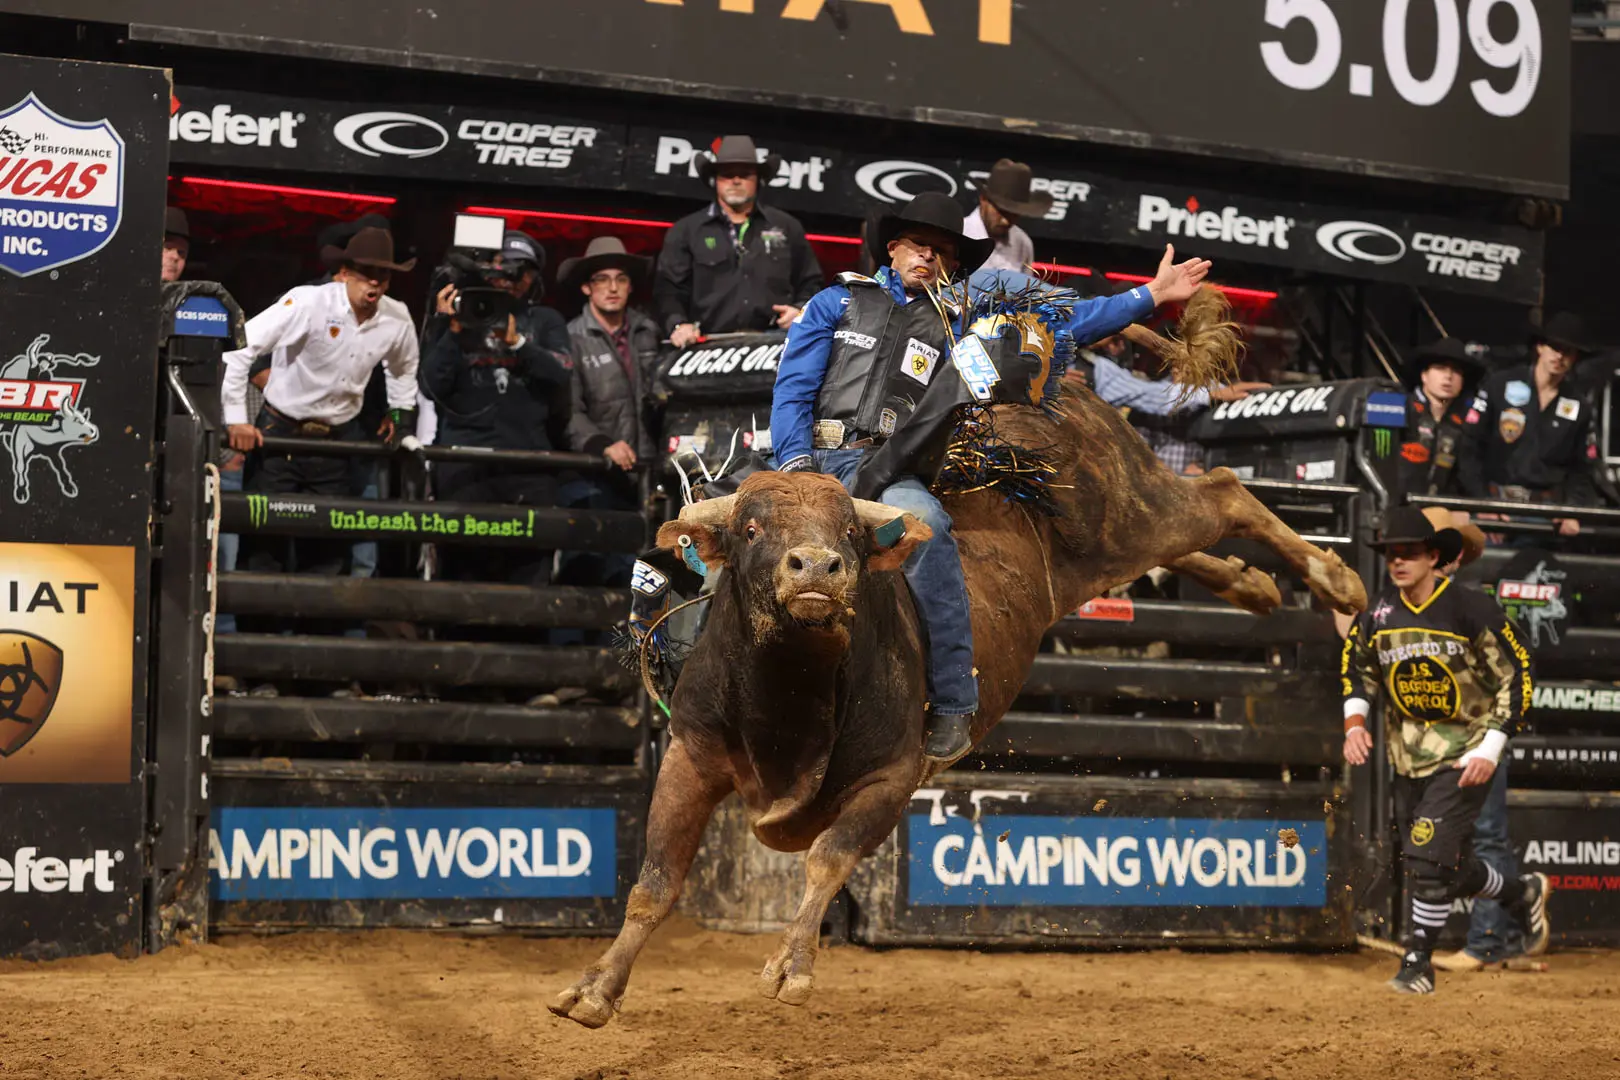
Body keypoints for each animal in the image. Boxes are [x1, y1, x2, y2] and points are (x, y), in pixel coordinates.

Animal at [551, 290, 1368, 1029]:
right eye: (751, 526)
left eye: (850, 533)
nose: (816, 569)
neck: (789, 695)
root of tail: (1049, 363)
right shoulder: (690, 754)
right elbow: (656, 881)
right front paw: (595, 988)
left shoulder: (892, 777)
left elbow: (828, 856)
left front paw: (791, 965)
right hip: (1113, 545)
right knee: (1201, 522)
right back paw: (1254, 585)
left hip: (1130, 510)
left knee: (1225, 492)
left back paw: (1338, 580)